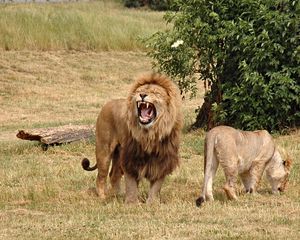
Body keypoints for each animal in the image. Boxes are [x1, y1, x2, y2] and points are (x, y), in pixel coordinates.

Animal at [81, 72, 183, 203]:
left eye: (156, 92)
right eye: (139, 91)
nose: (142, 95)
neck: (150, 135)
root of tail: (107, 104)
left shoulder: (163, 160)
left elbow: (156, 186)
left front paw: (152, 203)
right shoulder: (131, 158)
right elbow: (131, 184)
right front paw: (131, 203)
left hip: (118, 153)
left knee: (114, 175)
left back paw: (118, 195)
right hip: (104, 150)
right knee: (101, 176)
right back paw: (103, 197)